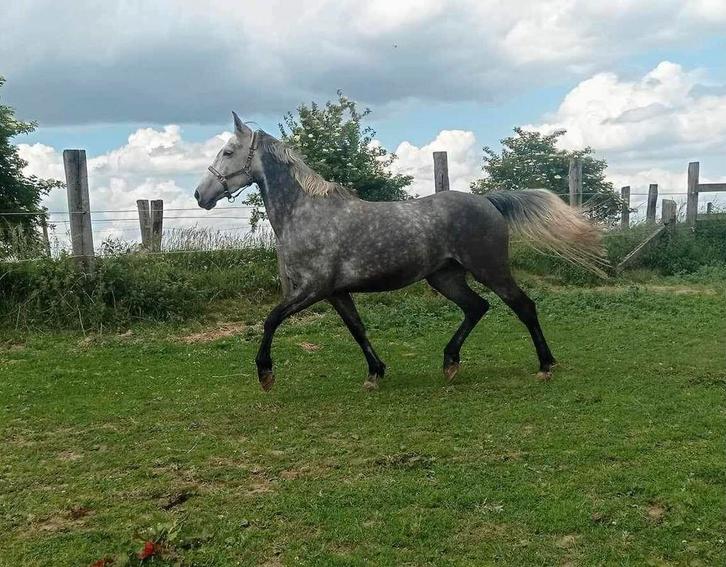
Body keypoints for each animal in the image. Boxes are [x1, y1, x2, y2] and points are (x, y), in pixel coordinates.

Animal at [195, 113, 606, 391]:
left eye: (228, 151)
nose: (201, 195)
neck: (307, 214)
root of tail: (488, 201)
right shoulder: (335, 292)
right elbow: (356, 328)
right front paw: (375, 373)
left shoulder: (311, 289)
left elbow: (270, 320)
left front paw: (265, 374)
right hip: (445, 277)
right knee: (477, 307)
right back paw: (450, 363)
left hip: (490, 269)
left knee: (523, 306)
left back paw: (545, 365)